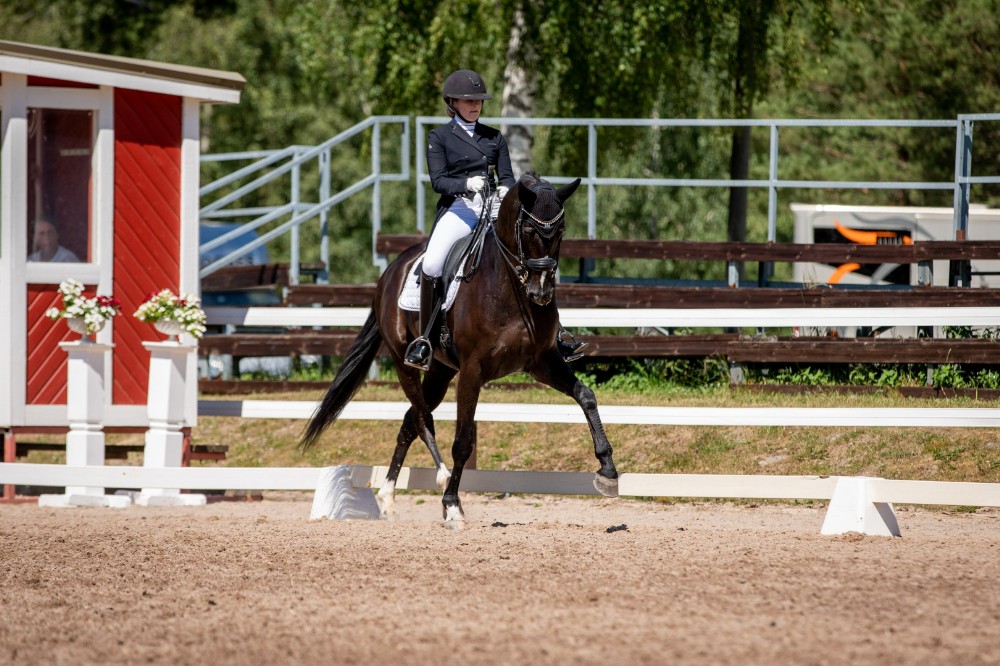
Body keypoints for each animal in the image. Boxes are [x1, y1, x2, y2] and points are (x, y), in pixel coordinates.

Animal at [298, 172, 616, 528]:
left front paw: (607, 470)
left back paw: (389, 497)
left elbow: (586, 396)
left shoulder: (542, 361)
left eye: (560, 231)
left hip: (440, 370)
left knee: (410, 420)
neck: (509, 288)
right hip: (405, 362)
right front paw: (451, 506)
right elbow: (463, 441)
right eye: (529, 230)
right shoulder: (472, 371)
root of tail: (391, 270)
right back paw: (436, 478)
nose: (542, 293)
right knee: (422, 417)